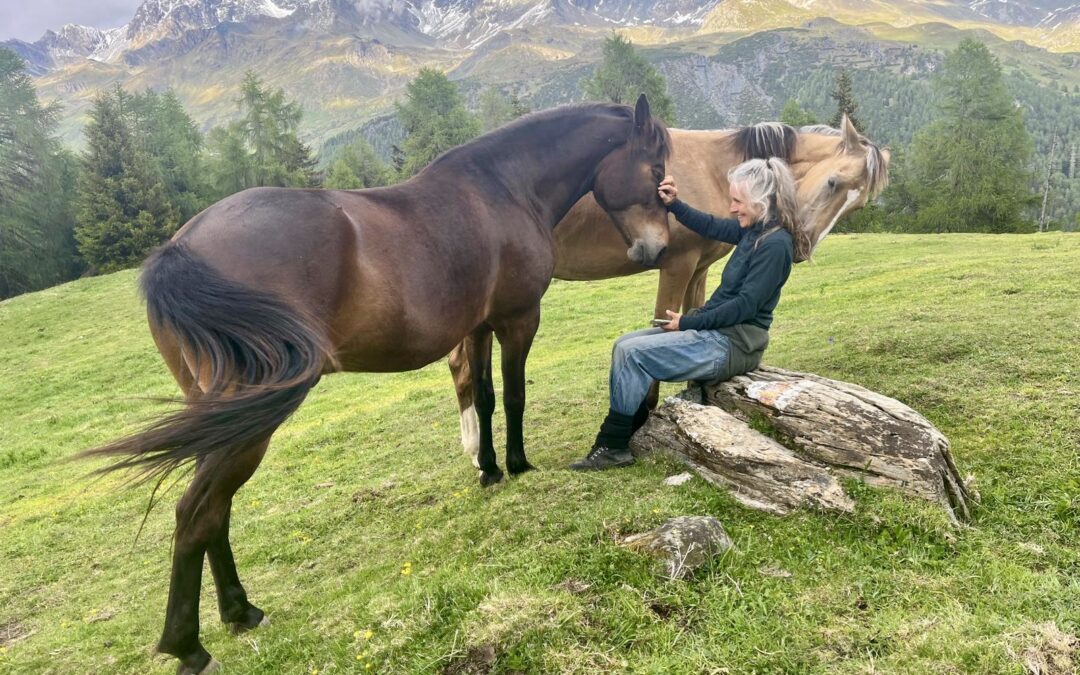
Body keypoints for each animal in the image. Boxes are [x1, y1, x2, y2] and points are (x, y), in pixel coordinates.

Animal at [79, 95, 672, 675]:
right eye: (657, 171)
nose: (658, 250)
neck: (503, 188)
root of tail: (181, 249)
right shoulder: (518, 319)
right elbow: (513, 395)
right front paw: (519, 464)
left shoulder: (477, 327)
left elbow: (482, 398)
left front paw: (489, 470)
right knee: (196, 512)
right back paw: (187, 645)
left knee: (215, 512)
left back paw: (240, 612)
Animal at [448, 116, 889, 467]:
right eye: (833, 182)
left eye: (858, 203)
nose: (800, 248)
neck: (714, 168)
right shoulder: (676, 266)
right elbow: (664, 320)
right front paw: (643, 416)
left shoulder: (699, 270)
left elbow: (695, 317)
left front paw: (698, 395)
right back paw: (478, 454)